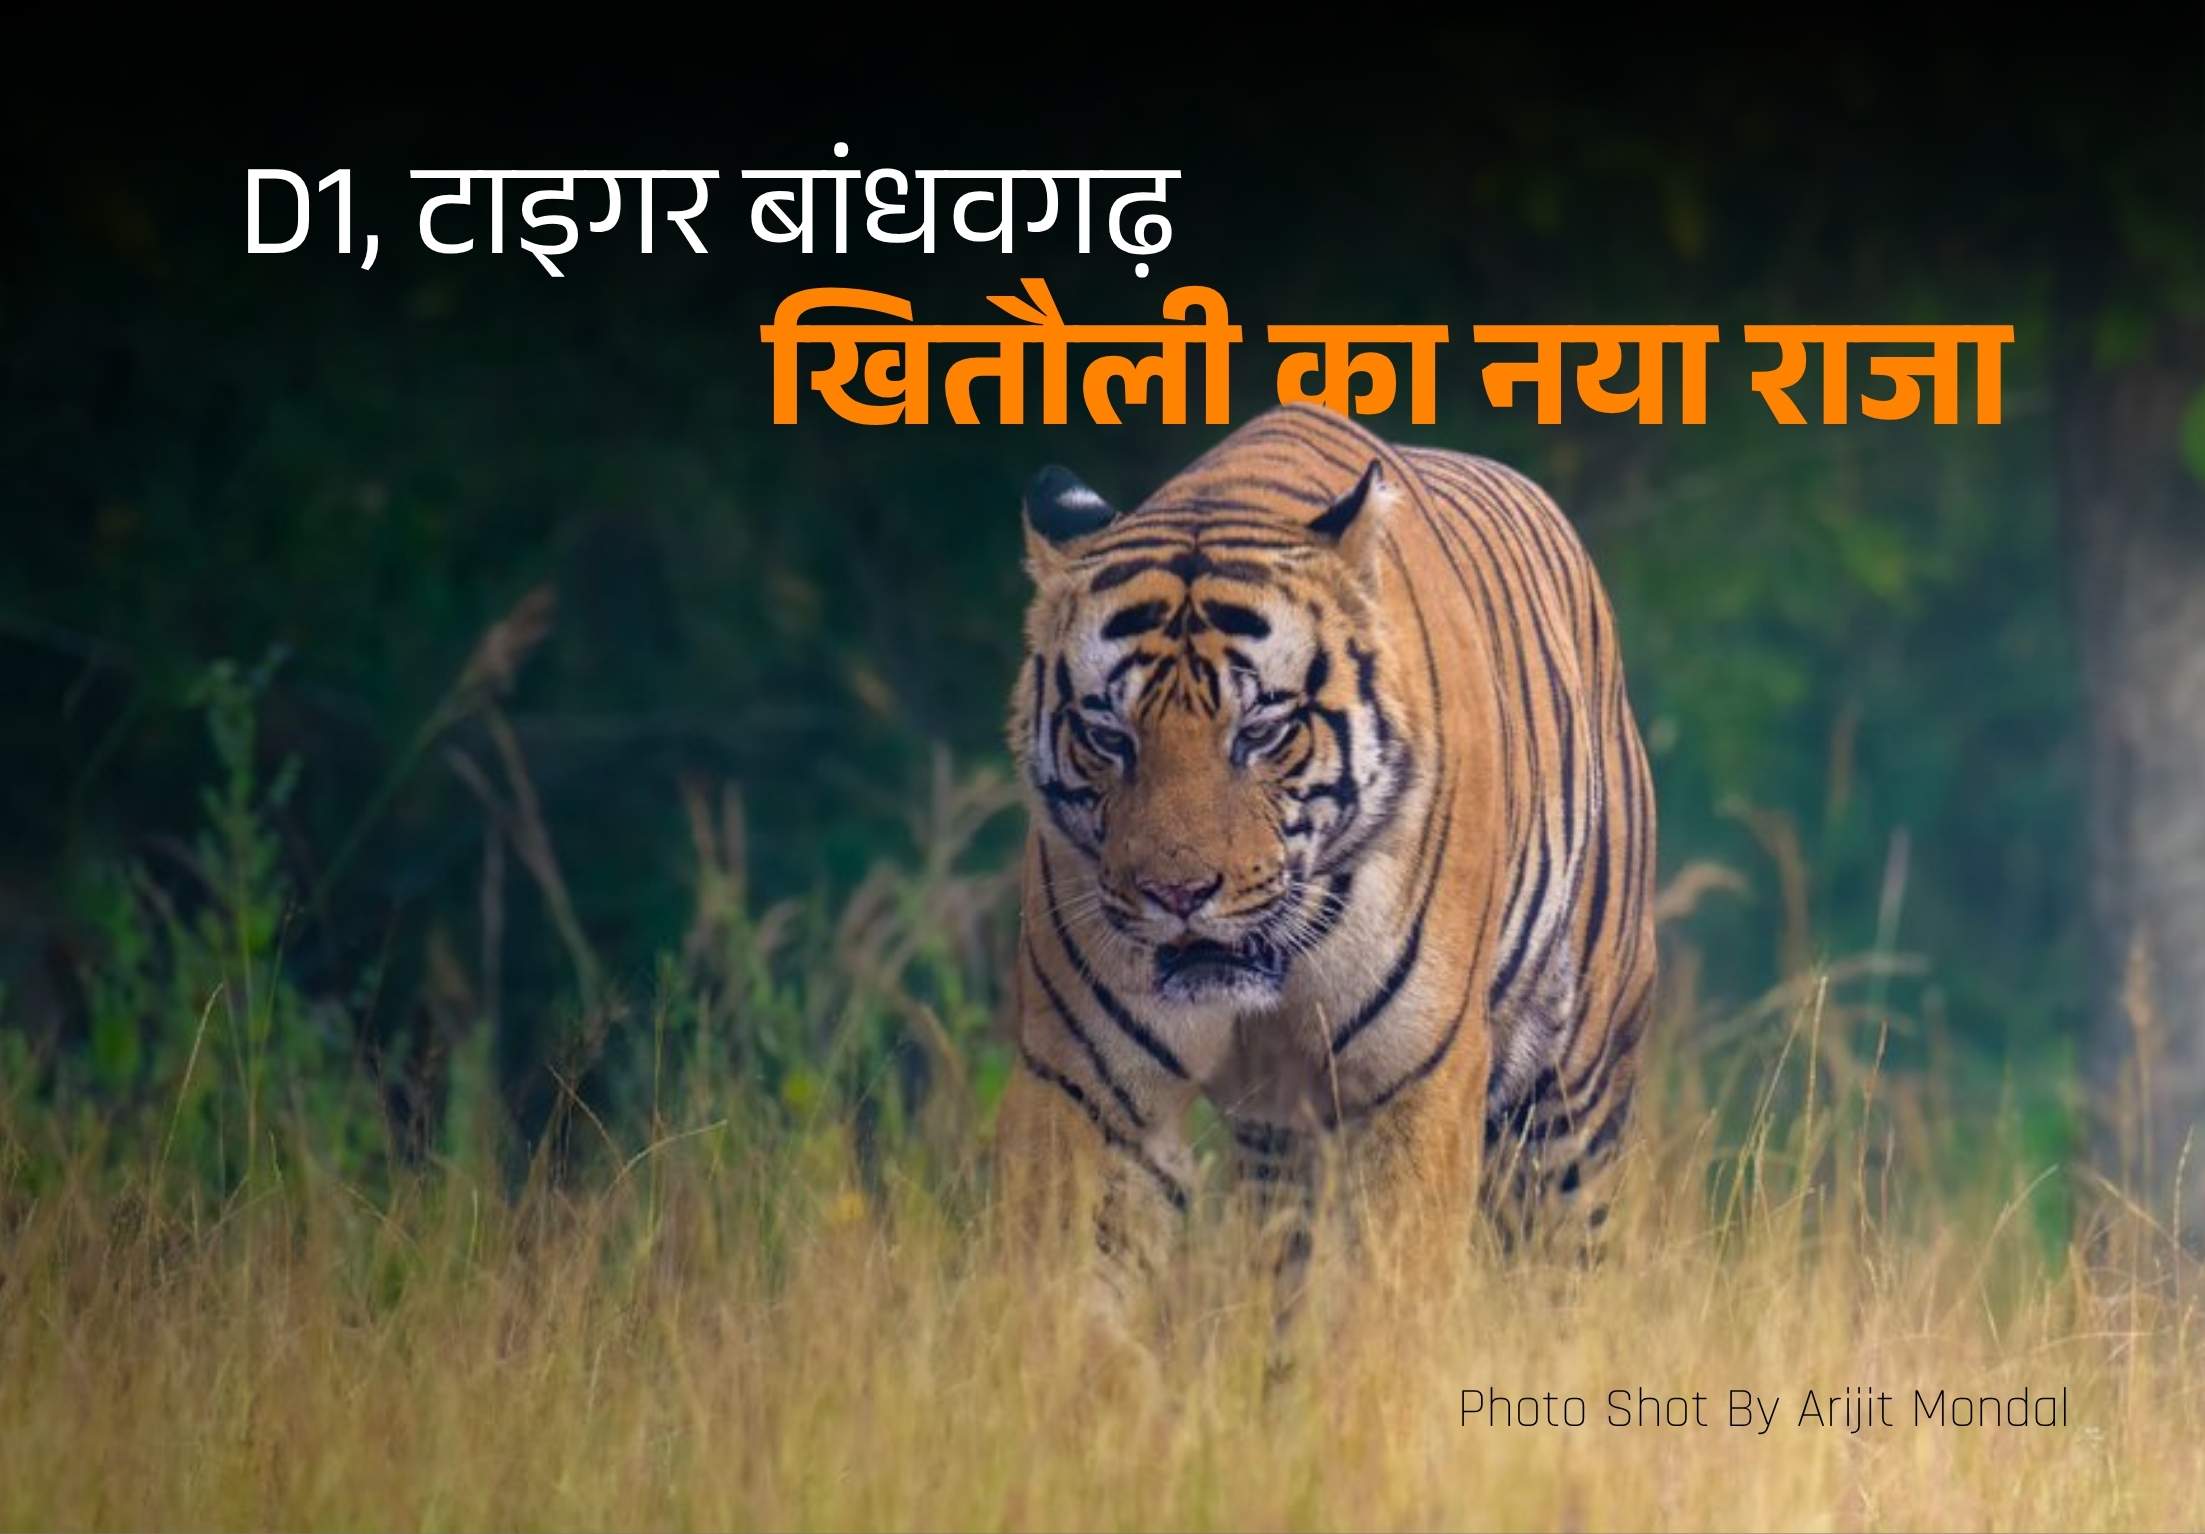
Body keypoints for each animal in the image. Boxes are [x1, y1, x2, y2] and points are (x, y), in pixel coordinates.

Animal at [993, 402, 1657, 1320]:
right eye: (1107, 736)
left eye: (1261, 731)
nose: (1177, 893)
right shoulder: (1086, 1087)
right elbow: (1068, 1298)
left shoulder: (1415, 1079)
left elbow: (1388, 1306)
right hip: (1282, 1138)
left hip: (1573, 1084)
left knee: (1566, 1259)